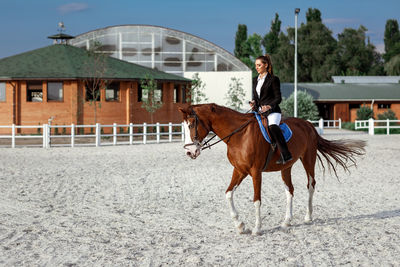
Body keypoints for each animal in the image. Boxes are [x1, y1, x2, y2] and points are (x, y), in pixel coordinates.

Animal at [180, 103, 368, 236]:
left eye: (191, 125)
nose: (190, 152)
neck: (239, 135)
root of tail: (309, 125)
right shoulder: (239, 170)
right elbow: (228, 194)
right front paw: (240, 226)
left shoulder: (255, 172)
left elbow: (256, 200)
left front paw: (256, 229)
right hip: (286, 167)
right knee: (290, 190)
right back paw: (286, 222)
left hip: (308, 159)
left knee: (311, 185)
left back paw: (308, 217)